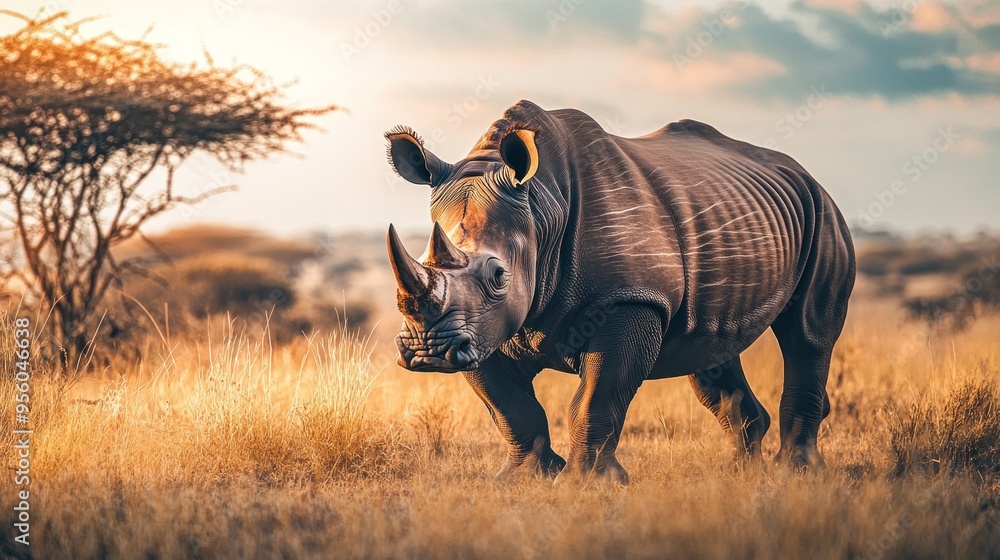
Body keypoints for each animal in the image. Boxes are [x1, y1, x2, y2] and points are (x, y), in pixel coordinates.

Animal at [385, 100, 855, 484]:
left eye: (499, 276)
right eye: (422, 260)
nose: (427, 351)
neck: (541, 208)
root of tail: (804, 173)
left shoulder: (632, 297)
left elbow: (598, 396)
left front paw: (588, 484)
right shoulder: (480, 327)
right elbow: (508, 406)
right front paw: (525, 479)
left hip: (823, 213)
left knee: (807, 335)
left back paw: (798, 473)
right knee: (712, 353)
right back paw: (740, 473)